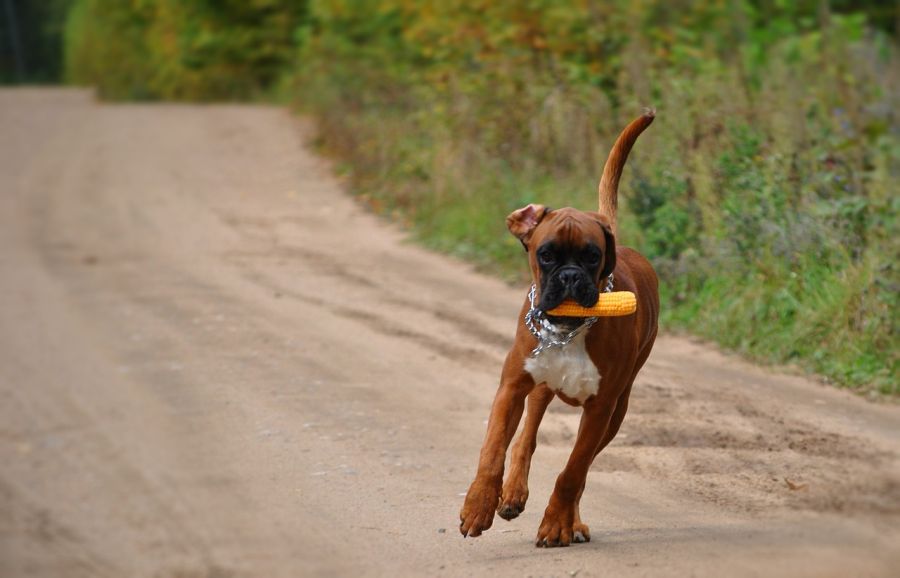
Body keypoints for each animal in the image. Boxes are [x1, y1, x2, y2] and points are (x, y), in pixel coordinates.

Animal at [460, 111, 656, 544]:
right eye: (546, 255)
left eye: (593, 256)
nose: (569, 276)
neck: (569, 331)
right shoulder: (511, 389)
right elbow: (494, 450)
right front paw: (479, 504)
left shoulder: (601, 409)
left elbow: (572, 472)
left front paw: (556, 523)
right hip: (540, 390)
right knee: (526, 439)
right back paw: (512, 494)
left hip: (617, 412)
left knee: (580, 470)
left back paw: (571, 521)